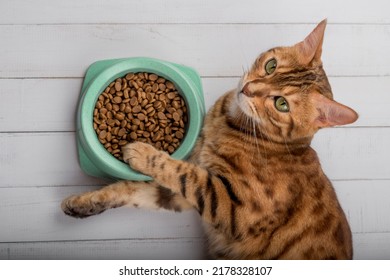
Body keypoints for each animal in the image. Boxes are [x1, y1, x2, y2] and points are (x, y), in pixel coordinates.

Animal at [62, 20, 358, 260]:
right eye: (270, 65)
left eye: (281, 104)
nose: (248, 88)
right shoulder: (186, 192)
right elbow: (134, 189)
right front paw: (83, 203)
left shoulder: (228, 206)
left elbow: (179, 171)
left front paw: (142, 153)